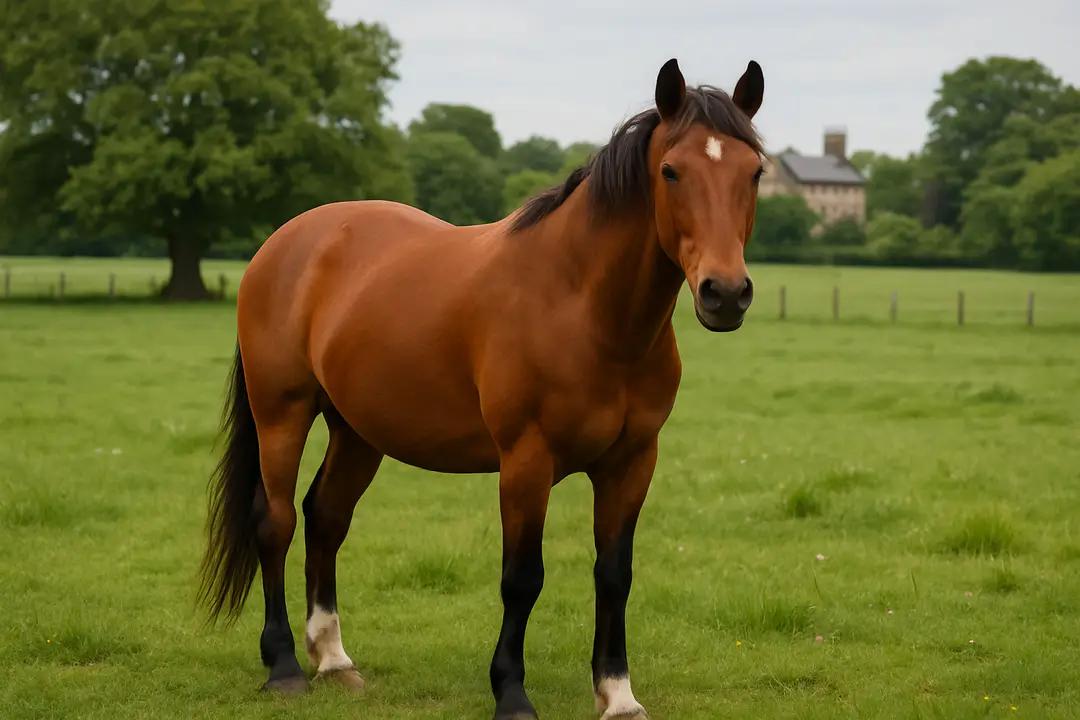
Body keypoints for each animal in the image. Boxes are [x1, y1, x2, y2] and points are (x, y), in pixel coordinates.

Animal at [197, 57, 765, 720]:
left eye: (755, 171)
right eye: (672, 171)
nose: (725, 293)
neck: (580, 303)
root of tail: (285, 242)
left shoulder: (632, 462)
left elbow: (614, 573)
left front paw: (618, 694)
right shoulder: (526, 461)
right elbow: (522, 578)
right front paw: (511, 692)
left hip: (358, 431)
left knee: (326, 517)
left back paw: (333, 659)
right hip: (281, 415)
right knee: (277, 521)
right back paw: (284, 665)